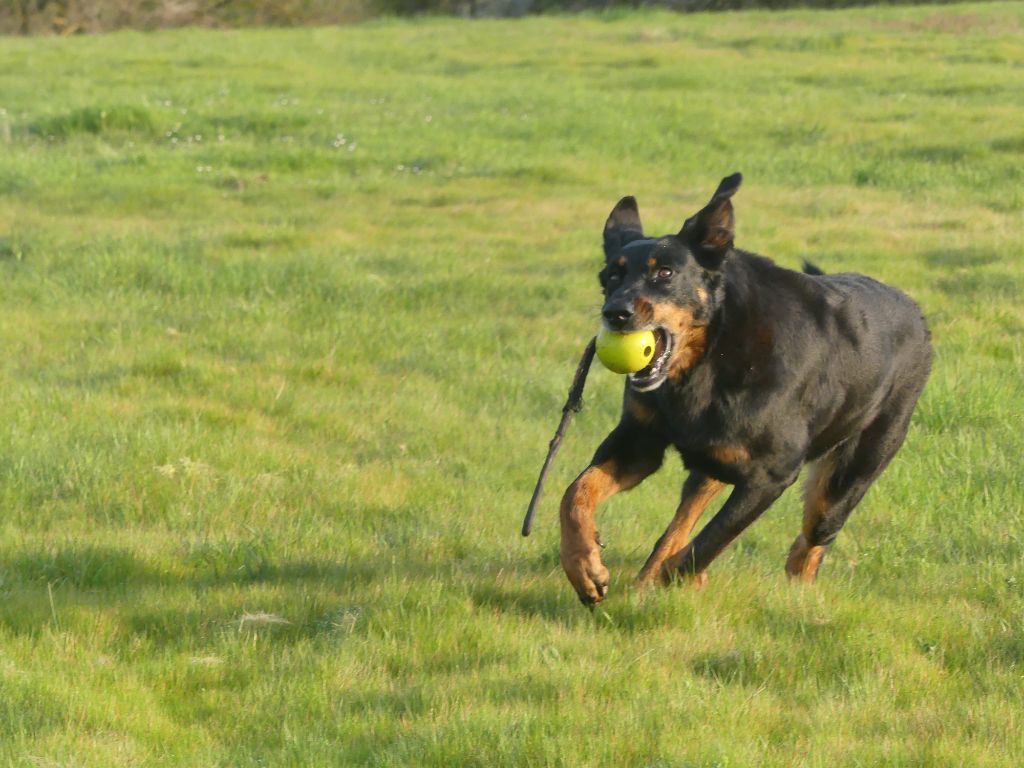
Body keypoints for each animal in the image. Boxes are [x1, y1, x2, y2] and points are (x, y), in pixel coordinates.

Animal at [565, 174, 933, 606]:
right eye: (610, 277)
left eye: (666, 274)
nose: (615, 314)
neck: (709, 356)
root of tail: (917, 314)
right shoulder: (640, 442)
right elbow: (576, 493)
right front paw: (584, 567)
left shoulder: (771, 475)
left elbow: (709, 542)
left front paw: (679, 580)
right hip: (712, 465)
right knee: (681, 524)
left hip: (848, 475)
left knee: (810, 543)